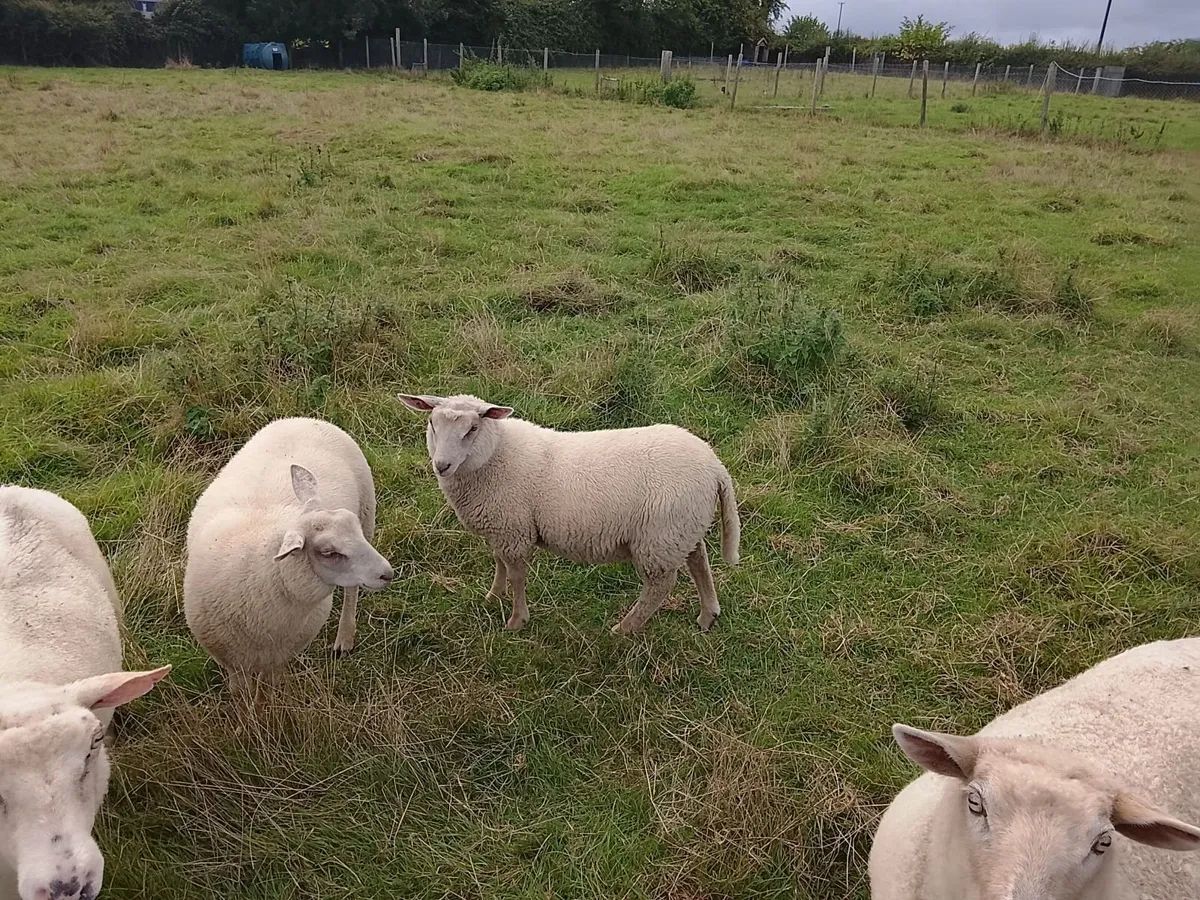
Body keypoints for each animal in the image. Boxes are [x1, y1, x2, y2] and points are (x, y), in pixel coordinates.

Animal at [183, 417, 394, 691]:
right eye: (328, 552)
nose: (387, 573)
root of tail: (306, 419)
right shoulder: (230, 658)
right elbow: (241, 691)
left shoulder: (281, 655)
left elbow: (273, 685)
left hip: (368, 513)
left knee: (351, 591)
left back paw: (344, 638)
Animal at [397, 393, 740, 635]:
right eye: (432, 424)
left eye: (472, 428)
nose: (441, 465)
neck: (494, 455)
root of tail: (715, 467)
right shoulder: (501, 527)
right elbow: (499, 564)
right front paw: (493, 596)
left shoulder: (513, 530)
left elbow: (517, 574)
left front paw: (516, 620)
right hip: (682, 529)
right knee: (699, 562)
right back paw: (708, 614)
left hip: (659, 537)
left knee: (660, 585)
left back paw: (624, 628)